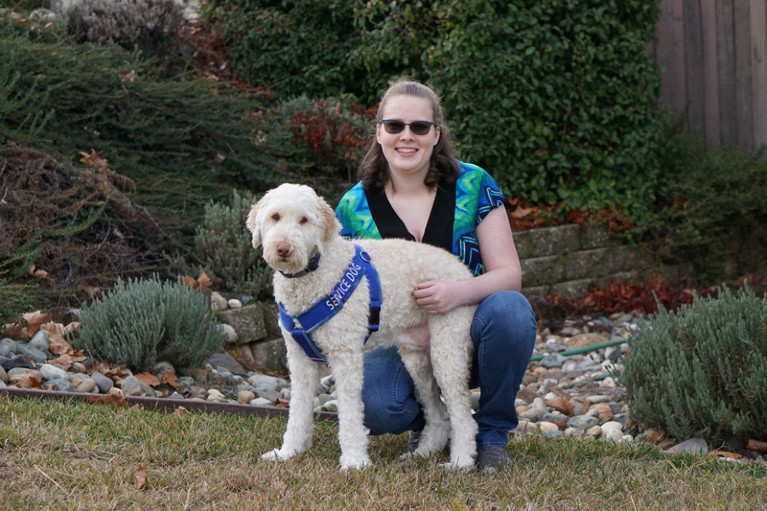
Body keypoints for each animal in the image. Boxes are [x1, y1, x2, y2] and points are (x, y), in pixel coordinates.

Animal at [246, 184, 476, 472]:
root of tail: (464, 270)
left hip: (448, 352)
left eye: (304, 220)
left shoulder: (345, 356)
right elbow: (298, 409)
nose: (284, 249)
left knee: (463, 414)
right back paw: (423, 453)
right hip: (418, 360)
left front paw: (354, 460)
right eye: (275, 217)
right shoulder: (300, 359)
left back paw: (461, 461)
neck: (317, 270)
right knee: (438, 413)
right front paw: (289, 452)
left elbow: (350, 411)